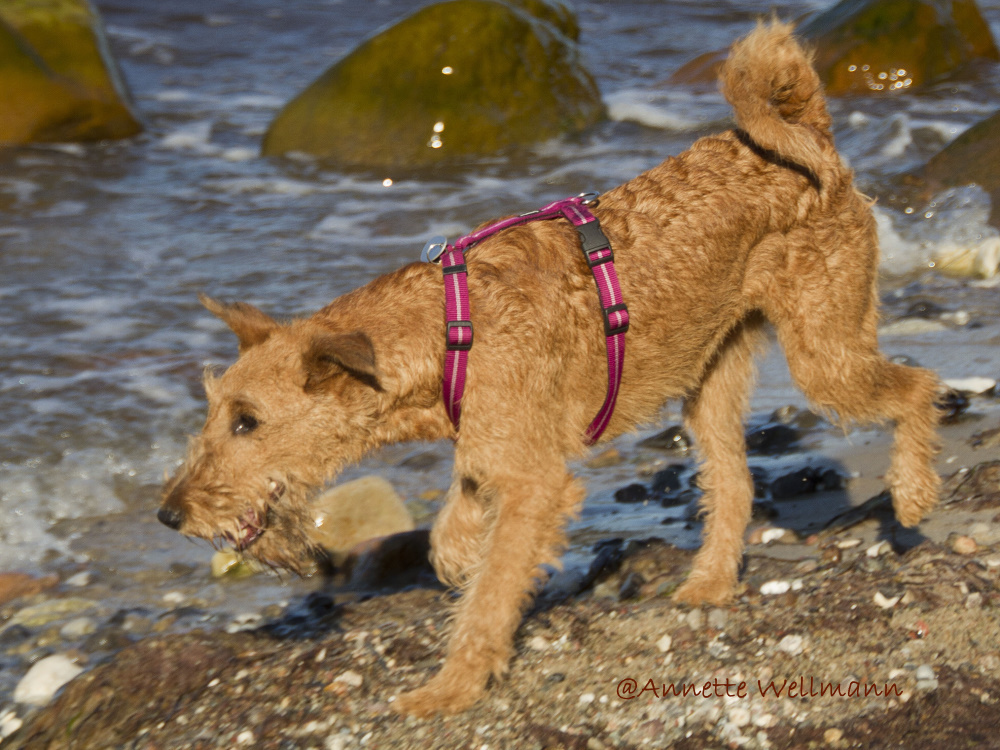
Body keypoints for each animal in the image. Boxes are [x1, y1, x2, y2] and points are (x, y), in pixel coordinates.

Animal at [156, 22, 936, 716]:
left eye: (246, 421)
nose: (168, 514)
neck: (449, 329)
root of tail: (810, 136)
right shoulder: (491, 453)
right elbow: (451, 537)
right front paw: (464, 566)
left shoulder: (532, 480)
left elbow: (489, 596)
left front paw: (449, 689)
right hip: (713, 380)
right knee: (734, 484)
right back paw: (708, 583)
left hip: (825, 356)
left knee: (918, 387)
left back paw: (912, 497)